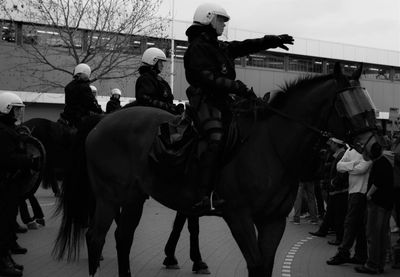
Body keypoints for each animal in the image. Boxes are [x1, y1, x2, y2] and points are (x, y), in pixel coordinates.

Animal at [52, 63, 382, 274]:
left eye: (366, 99)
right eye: (350, 104)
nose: (377, 147)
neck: (270, 146)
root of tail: (100, 122)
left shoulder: (273, 220)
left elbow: (265, 266)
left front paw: (184, 258)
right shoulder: (238, 216)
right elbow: (255, 264)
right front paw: (186, 258)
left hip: (134, 197)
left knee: (122, 239)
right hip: (109, 196)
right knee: (95, 238)